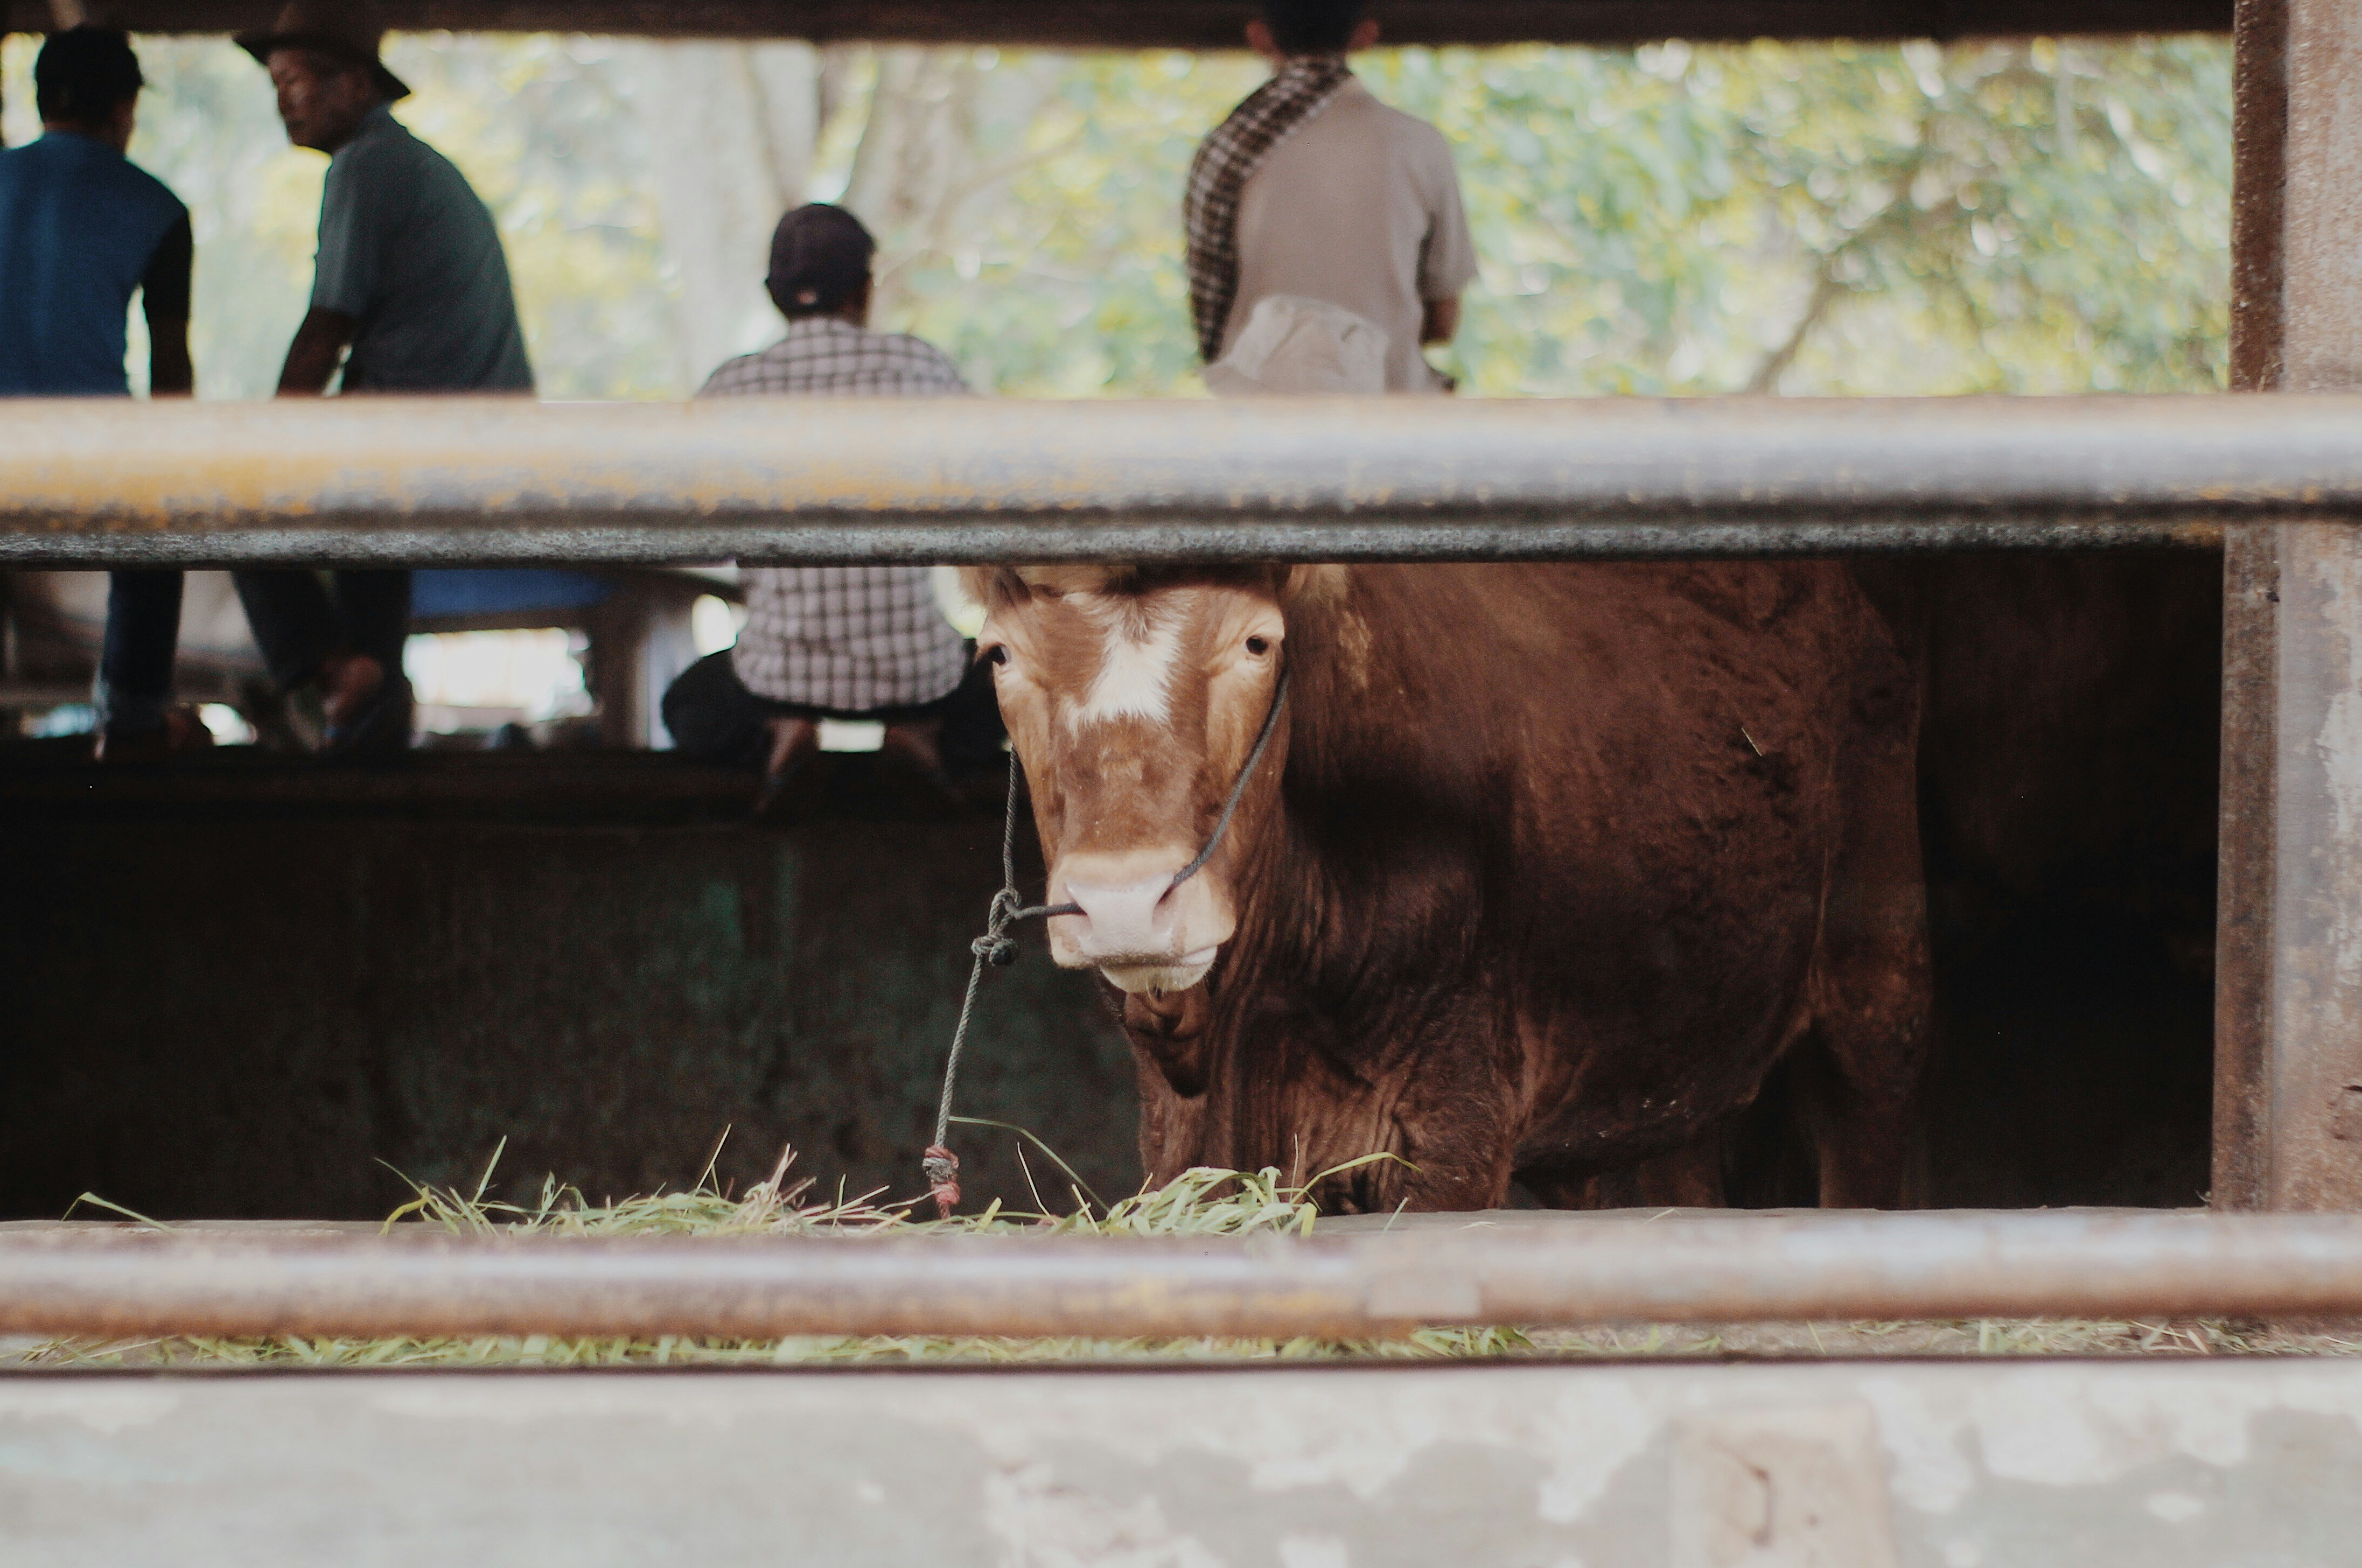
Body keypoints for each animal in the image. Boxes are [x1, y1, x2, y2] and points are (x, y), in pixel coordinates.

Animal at [964, 561, 1931, 1212]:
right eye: (1001, 655)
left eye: (1255, 641)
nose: (1125, 900)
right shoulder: (1180, 1142)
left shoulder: (1453, 1132)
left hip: (1879, 983)